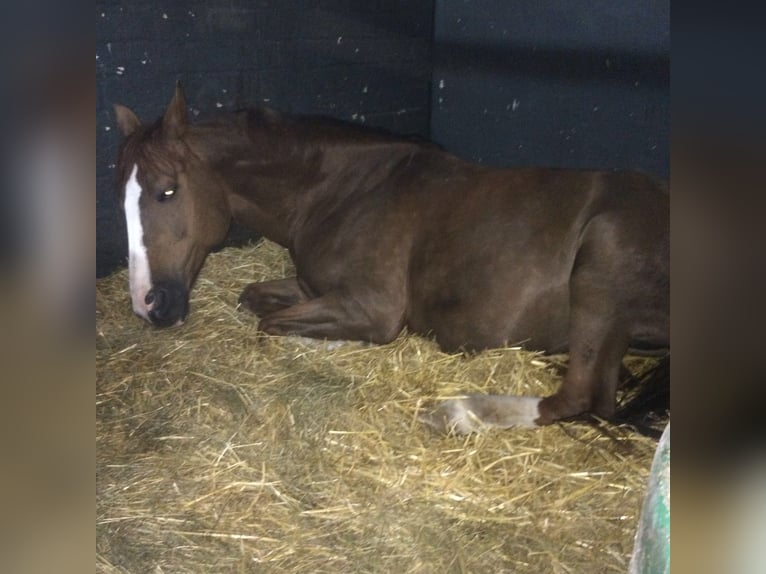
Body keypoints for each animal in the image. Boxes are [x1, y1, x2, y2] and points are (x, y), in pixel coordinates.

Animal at [114, 84, 672, 436]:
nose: (148, 305)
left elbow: (270, 327)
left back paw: (458, 414)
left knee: (579, 397)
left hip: (601, 272)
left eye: (167, 191)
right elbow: (255, 300)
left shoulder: (372, 307)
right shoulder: (314, 287)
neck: (341, 187)